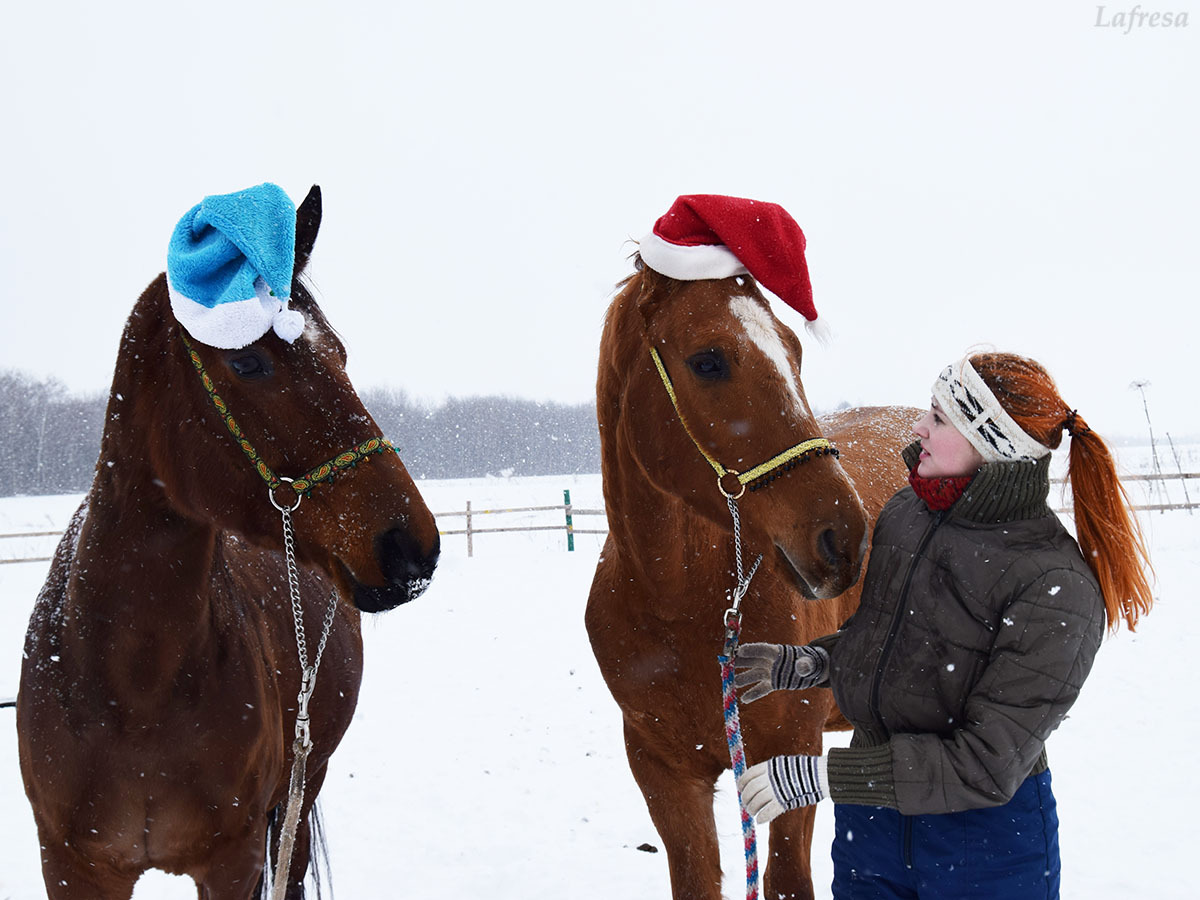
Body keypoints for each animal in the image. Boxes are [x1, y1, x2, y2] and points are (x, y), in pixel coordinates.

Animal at [585, 195, 912, 900]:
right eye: (709, 360)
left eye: (794, 351)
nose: (843, 536)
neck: (682, 609)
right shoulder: (665, 775)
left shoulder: (789, 759)